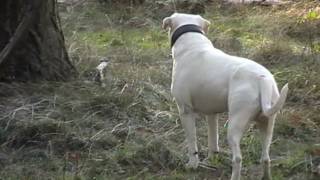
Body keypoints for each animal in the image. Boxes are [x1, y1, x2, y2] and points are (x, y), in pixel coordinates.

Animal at [162, 13, 288, 180]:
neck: (192, 42)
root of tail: (262, 80)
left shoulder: (185, 111)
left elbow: (192, 142)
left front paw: (193, 164)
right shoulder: (212, 114)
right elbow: (213, 140)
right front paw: (211, 159)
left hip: (234, 125)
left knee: (238, 159)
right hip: (267, 125)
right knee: (266, 158)